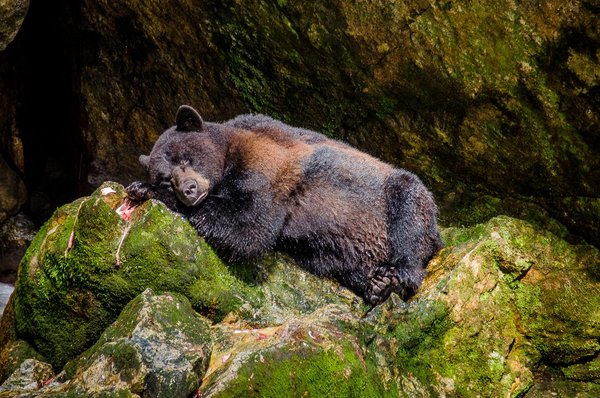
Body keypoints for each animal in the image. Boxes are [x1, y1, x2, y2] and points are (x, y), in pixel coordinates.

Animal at [126, 105, 442, 304]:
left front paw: (142, 189)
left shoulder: (267, 169)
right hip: (344, 255)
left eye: (185, 158)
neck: (229, 154)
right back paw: (374, 285)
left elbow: (250, 225)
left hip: (393, 198)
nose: (188, 190)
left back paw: (392, 277)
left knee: (410, 216)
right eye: (167, 177)